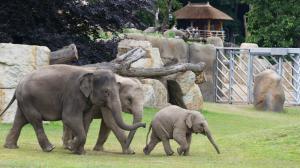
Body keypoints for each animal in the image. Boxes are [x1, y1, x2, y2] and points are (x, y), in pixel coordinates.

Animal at [0, 65, 145, 154]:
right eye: (106, 92)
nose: (144, 125)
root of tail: (18, 84)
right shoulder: (73, 94)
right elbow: (71, 117)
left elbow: (91, 120)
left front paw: (79, 150)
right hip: (28, 99)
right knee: (35, 120)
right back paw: (51, 148)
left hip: (24, 101)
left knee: (21, 120)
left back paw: (11, 146)